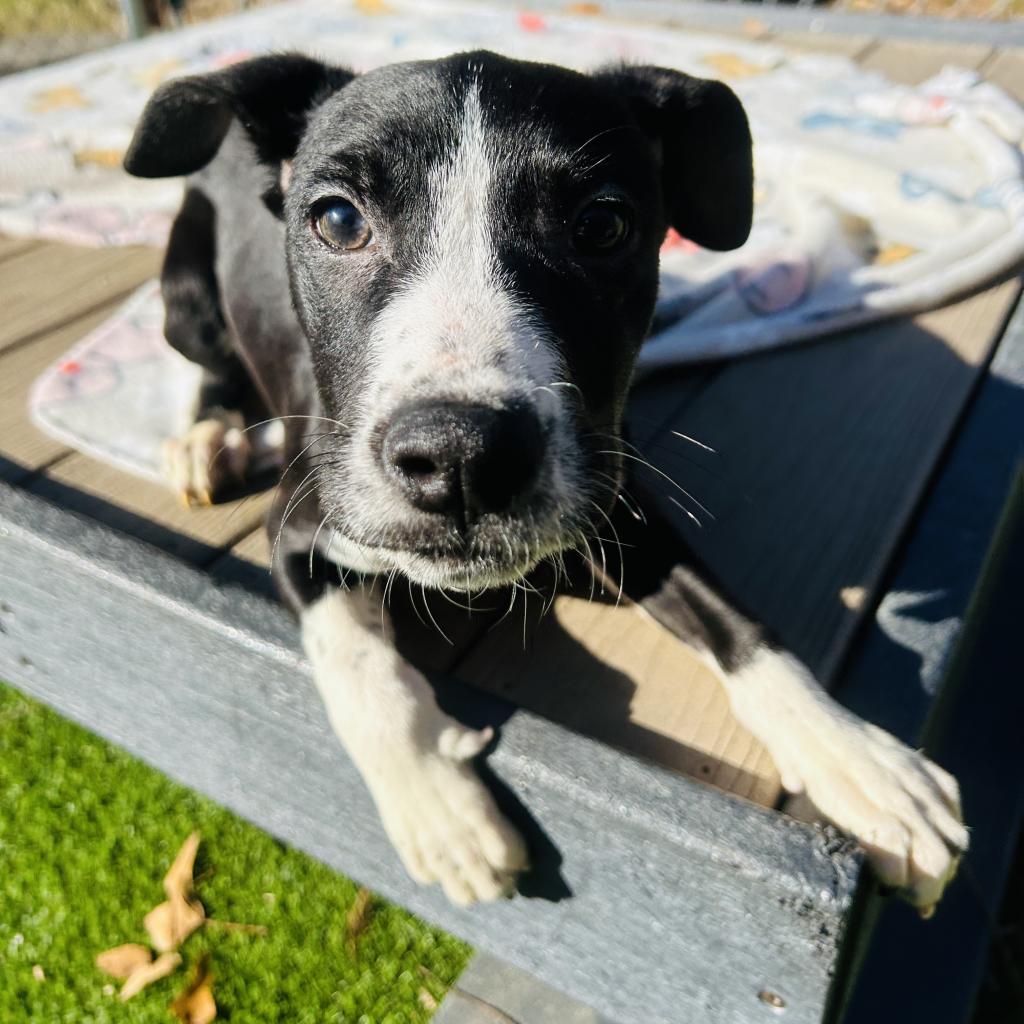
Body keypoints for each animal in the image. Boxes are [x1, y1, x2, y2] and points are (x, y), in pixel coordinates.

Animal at [125, 49, 966, 913]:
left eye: (602, 225)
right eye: (337, 220)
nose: (461, 457)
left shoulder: (617, 505)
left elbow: (737, 621)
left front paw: (862, 762)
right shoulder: (299, 526)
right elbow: (355, 660)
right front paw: (439, 805)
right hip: (186, 297)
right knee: (210, 362)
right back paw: (207, 436)